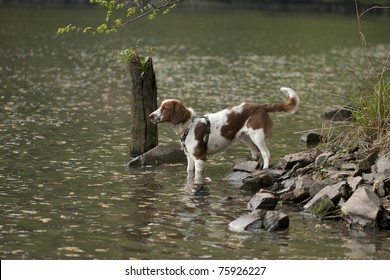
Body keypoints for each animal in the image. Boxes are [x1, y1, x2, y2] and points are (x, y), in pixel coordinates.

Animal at [149, 87, 298, 184]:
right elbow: (190, 173)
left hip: (257, 135)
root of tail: (260, 105)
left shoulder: (199, 156)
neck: (189, 126)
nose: (150, 116)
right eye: (160, 106)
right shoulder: (190, 157)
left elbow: (198, 175)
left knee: (265, 153)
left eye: (165, 108)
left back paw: (265, 169)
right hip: (246, 137)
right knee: (256, 153)